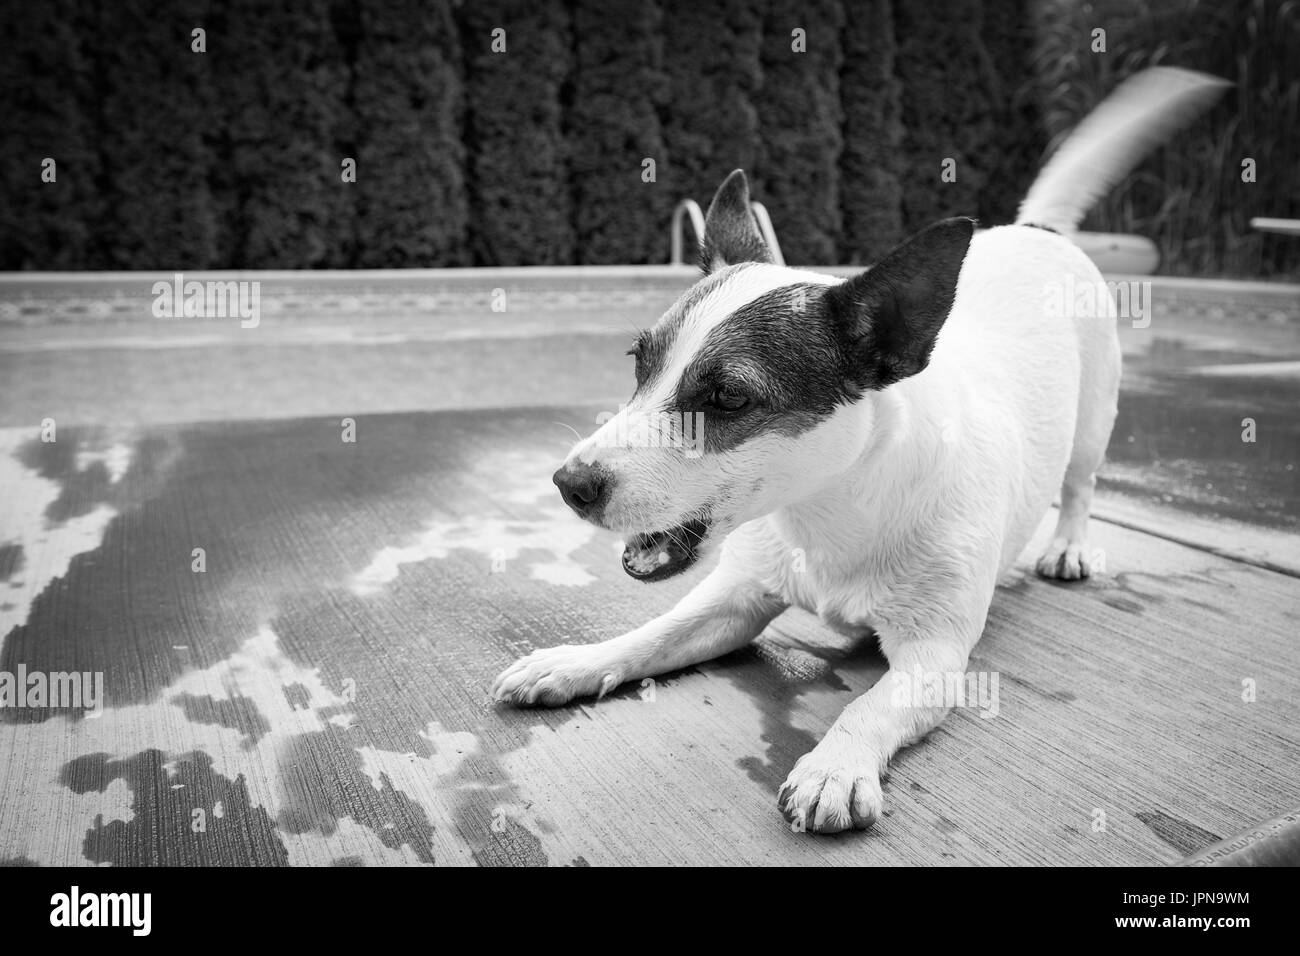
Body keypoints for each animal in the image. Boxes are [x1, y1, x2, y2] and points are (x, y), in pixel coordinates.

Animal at [488, 67, 1227, 832]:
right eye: (640, 364)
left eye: (728, 398)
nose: (568, 483)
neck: (830, 513)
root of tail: (1034, 230)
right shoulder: (731, 601)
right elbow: (652, 634)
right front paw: (575, 662)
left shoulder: (934, 656)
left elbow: (868, 707)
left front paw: (835, 765)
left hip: (1094, 419)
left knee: (1081, 485)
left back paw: (1070, 547)